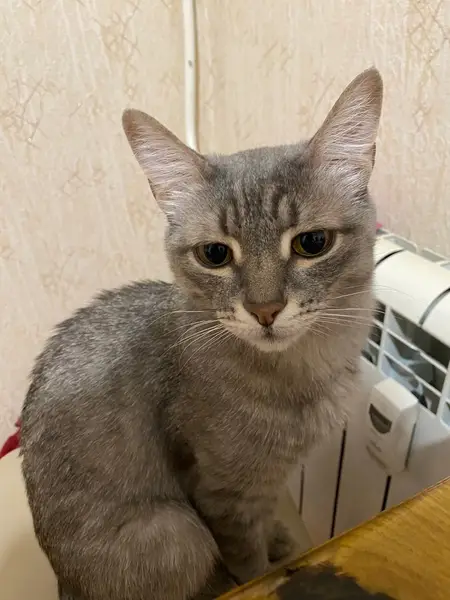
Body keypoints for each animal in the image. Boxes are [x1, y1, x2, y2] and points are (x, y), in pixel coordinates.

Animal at [20, 67, 382, 600]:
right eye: (215, 254)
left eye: (312, 243)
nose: (265, 310)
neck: (301, 371)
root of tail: (63, 584)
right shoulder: (220, 491)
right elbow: (249, 562)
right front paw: (260, 572)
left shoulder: (268, 482)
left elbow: (267, 521)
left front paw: (278, 540)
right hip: (178, 531)